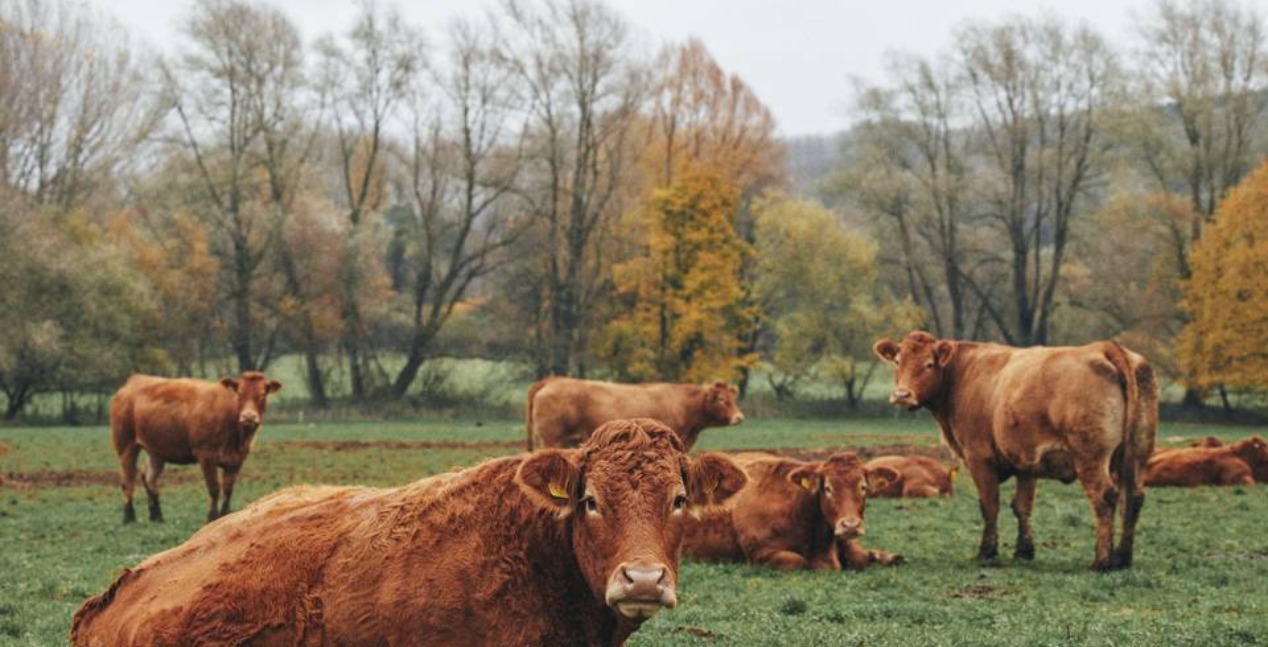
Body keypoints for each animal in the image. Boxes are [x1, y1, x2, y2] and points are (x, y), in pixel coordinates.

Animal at [110, 372, 281, 524]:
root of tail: (134, 380)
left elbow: (228, 490)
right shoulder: (206, 455)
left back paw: (156, 516)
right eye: (239, 394)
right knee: (127, 480)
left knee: (149, 477)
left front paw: (226, 515)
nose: (248, 417)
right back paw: (129, 517)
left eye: (263, 394)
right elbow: (214, 488)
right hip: (126, 445)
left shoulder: (237, 460)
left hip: (156, 451)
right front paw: (212, 518)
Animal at [682, 452, 903, 571]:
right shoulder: (759, 553)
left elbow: (861, 556)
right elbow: (799, 561)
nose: (850, 525)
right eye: (827, 488)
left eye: (863, 487)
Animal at [873, 331, 1157, 571]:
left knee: (1104, 496)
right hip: (1137, 453)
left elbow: (990, 505)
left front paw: (987, 551)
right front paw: (1024, 551)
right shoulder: (1027, 460)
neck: (961, 374)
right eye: (897, 362)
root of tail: (1105, 347)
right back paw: (1122, 558)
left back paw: (1102, 561)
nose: (902, 395)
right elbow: (1022, 506)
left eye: (929, 364)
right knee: (1133, 497)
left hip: (1090, 458)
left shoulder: (979, 457)